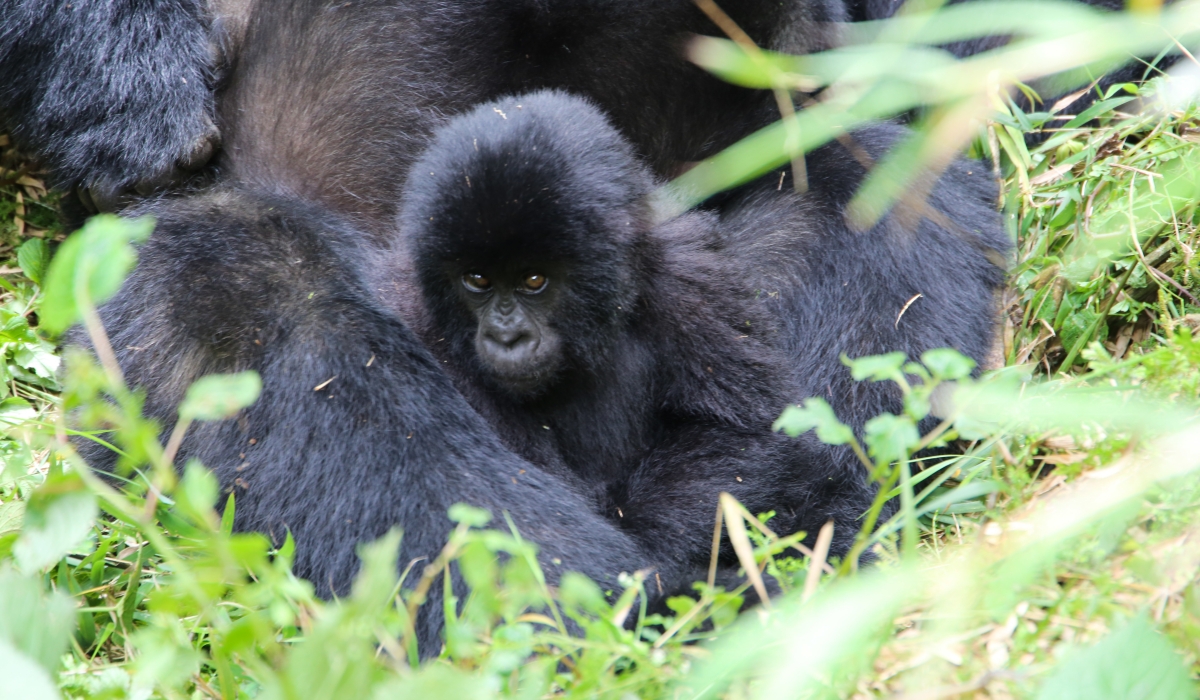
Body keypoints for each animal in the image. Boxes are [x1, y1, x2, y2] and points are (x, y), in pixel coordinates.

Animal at [384, 90, 873, 566]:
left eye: (534, 280)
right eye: (478, 280)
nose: (508, 338)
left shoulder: (688, 273)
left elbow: (745, 428)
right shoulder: (411, 311)